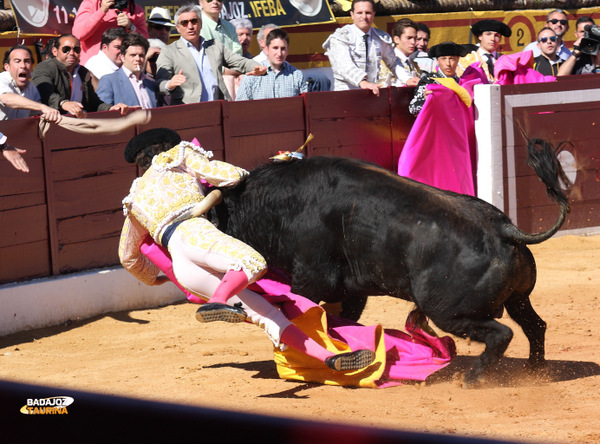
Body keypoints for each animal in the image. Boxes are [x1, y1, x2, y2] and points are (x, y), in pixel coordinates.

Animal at [213, 140, 568, 384]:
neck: (277, 203)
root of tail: (504, 227)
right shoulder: (351, 291)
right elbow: (341, 320)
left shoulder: (310, 280)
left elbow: (303, 313)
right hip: (518, 299)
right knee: (535, 326)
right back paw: (535, 371)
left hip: (450, 311)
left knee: (501, 334)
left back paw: (472, 378)